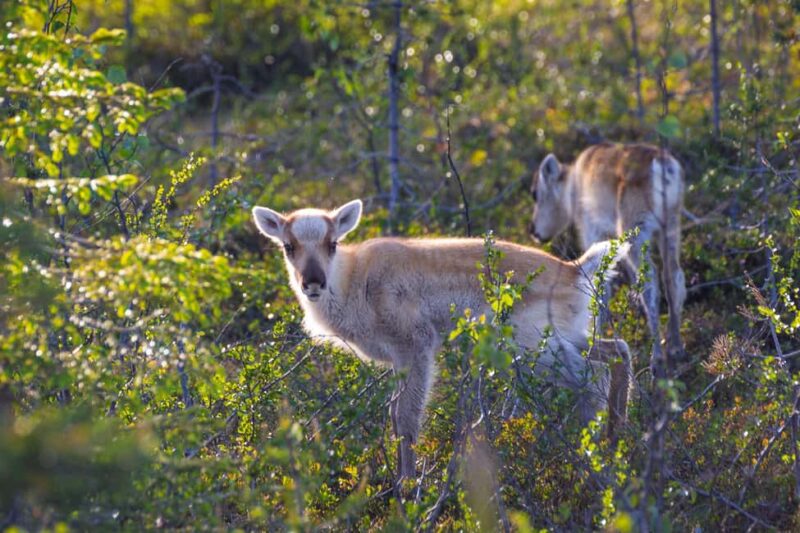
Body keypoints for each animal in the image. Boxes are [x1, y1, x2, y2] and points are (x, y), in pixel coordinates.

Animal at [252, 199, 632, 480]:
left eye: (332, 243)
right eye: (288, 246)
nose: (313, 283)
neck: (353, 281)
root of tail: (577, 269)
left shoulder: (417, 346)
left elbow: (407, 419)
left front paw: (406, 489)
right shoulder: (398, 361)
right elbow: (393, 415)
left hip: (529, 349)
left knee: (592, 379)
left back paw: (590, 456)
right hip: (568, 336)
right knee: (618, 351)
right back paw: (611, 442)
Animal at [528, 142, 686, 364]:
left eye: (535, 193)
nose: (534, 230)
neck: (572, 188)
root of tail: (662, 166)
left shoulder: (592, 231)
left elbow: (601, 287)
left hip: (634, 230)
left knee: (650, 283)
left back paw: (656, 357)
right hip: (671, 224)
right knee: (673, 277)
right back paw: (676, 346)